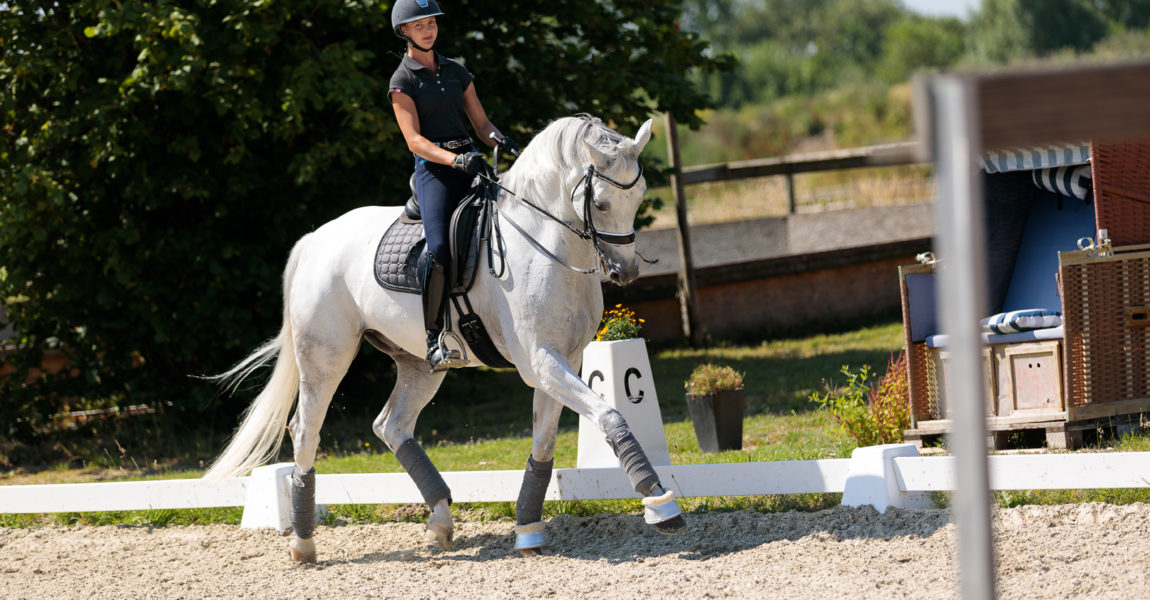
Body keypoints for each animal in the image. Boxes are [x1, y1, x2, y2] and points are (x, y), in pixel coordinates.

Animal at [205, 115, 685, 560]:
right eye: (600, 203)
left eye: (639, 197)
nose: (625, 272)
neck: (545, 245)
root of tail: (313, 240)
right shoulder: (541, 362)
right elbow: (610, 416)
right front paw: (661, 506)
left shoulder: (563, 359)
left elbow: (544, 445)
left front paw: (528, 529)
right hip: (325, 358)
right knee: (306, 431)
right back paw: (304, 545)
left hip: (419, 364)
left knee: (391, 424)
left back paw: (439, 521)